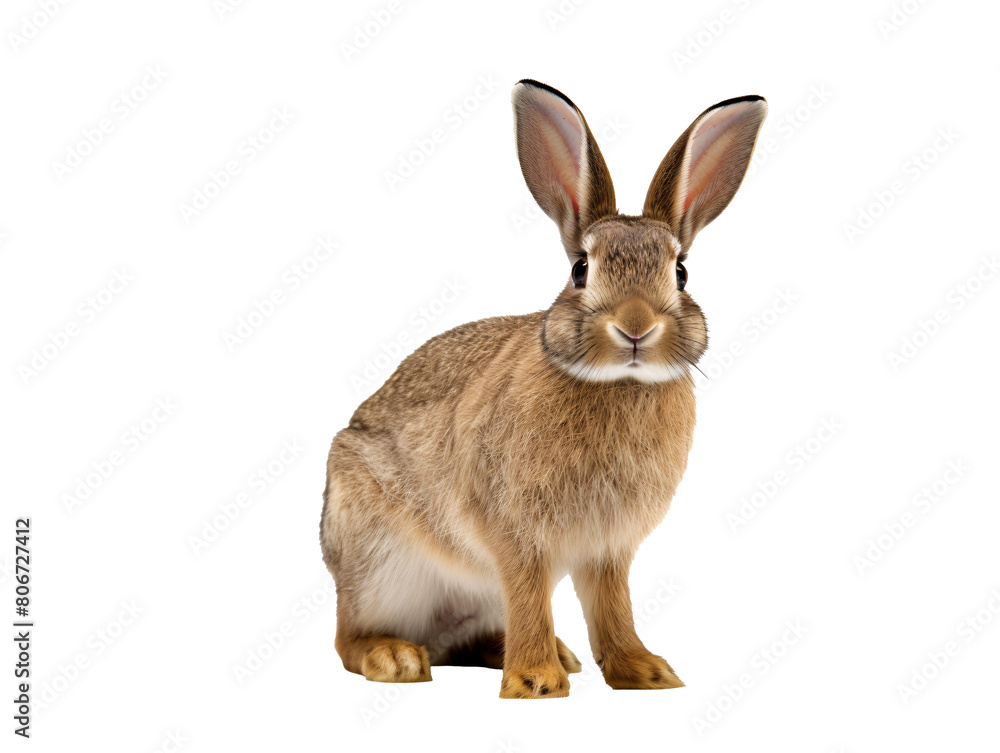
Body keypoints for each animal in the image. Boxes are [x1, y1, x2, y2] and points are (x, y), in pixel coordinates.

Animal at [320, 79, 767, 698]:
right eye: (581, 269)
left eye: (680, 273)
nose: (635, 326)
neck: (617, 385)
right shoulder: (517, 533)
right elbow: (531, 591)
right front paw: (535, 683)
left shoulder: (608, 549)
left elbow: (612, 606)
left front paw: (646, 672)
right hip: (377, 565)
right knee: (348, 638)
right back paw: (396, 658)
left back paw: (554, 653)